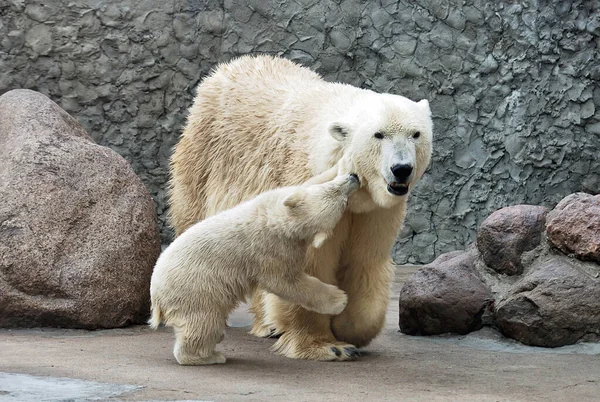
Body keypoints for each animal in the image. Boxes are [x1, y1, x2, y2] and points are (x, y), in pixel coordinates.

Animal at [150, 174, 360, 366]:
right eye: (340, 197)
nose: (353, 177)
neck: (279, 219)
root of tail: (156, 295)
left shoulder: (272, 200)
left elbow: (304, 183)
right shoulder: (272, 251)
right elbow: (287, 283)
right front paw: (339, 300)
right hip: (195, 290)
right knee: (203, 324)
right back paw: (210, 356)